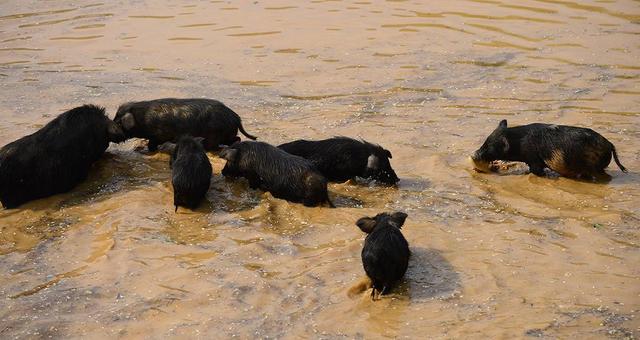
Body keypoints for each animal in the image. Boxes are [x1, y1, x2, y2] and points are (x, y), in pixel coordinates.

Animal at [115, 98, 258, 151]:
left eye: (119, 122)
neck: (143, 118)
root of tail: (236, 117)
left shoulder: (158, 135)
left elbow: (152, 144)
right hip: (226, 134)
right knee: (236, 138)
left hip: (216, 134)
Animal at [470, 119, 624, 179]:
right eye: (485, 141)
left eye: (490, 146)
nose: (474, 154)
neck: (519, 144)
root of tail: (610, 144)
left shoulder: (534, 160)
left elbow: (535, 170)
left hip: (596, 166)